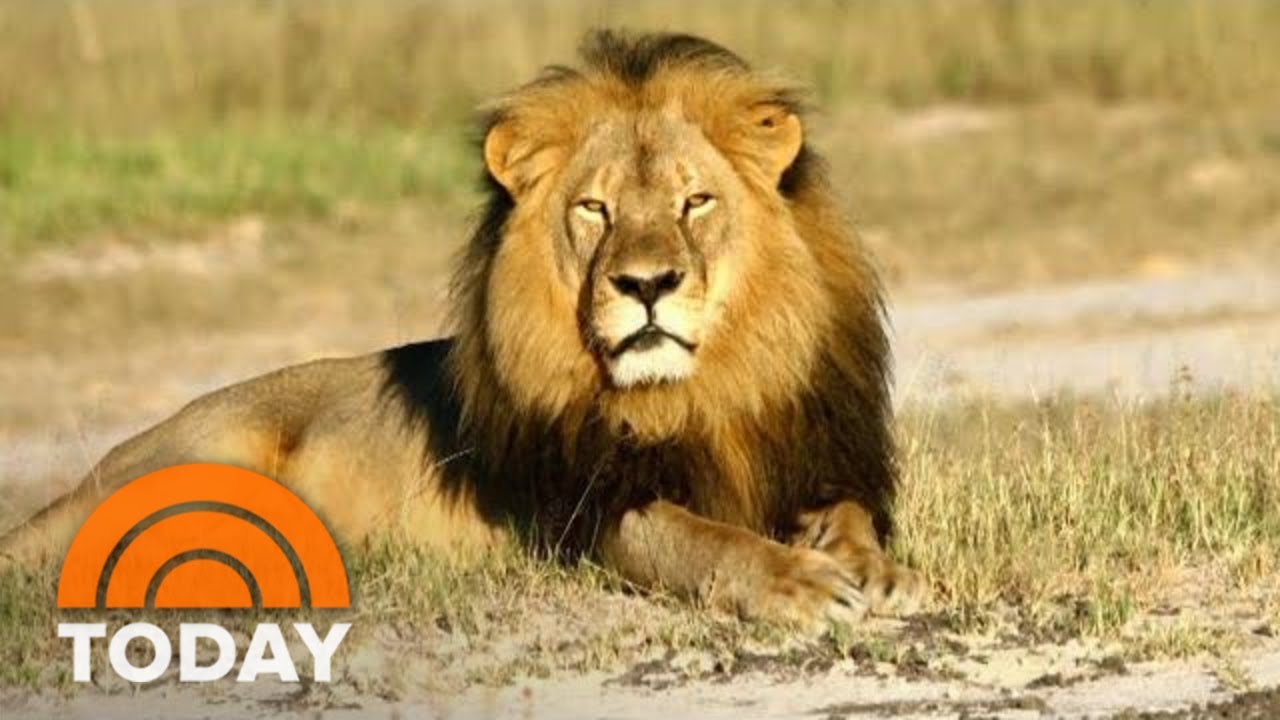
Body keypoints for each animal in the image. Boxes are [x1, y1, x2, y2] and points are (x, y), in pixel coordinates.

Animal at [1, 31, 925, 629]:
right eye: (594, 210)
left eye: (695, 201)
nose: (646, 285)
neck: (700, 392)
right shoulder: (584, 514)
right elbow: (702, 540)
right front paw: (799, 585)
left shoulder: (813, 459)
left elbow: (851, 516)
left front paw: (875, 571)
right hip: (205, 456)